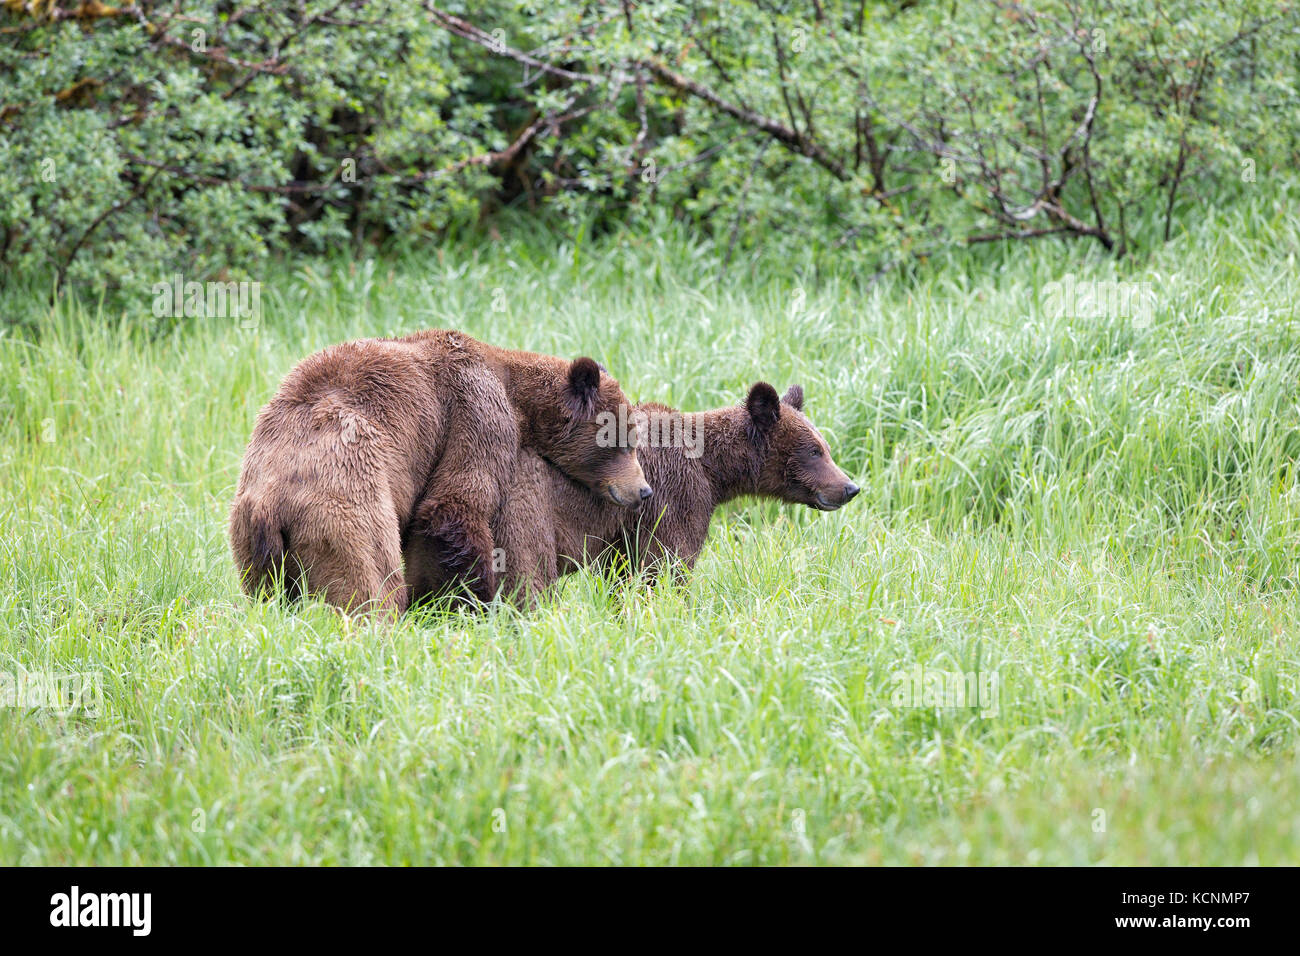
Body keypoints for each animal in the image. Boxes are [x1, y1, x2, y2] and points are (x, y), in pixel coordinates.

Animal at [231, 329, 650, 613]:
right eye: (624, 440)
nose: (643, 490)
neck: (520, 400)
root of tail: (271, 502)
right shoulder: (475, 410)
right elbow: (453, 507)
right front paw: (464, 602)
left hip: (249, 540)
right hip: (344, 493)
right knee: (368, 577)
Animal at [400, 382, 857, 606]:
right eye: (814, 451)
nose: (850, 487)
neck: (715, 472)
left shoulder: (626, 531)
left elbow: (625, 576)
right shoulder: (674, 497)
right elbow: (666, 567)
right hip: (522, 510)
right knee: (529, 579)